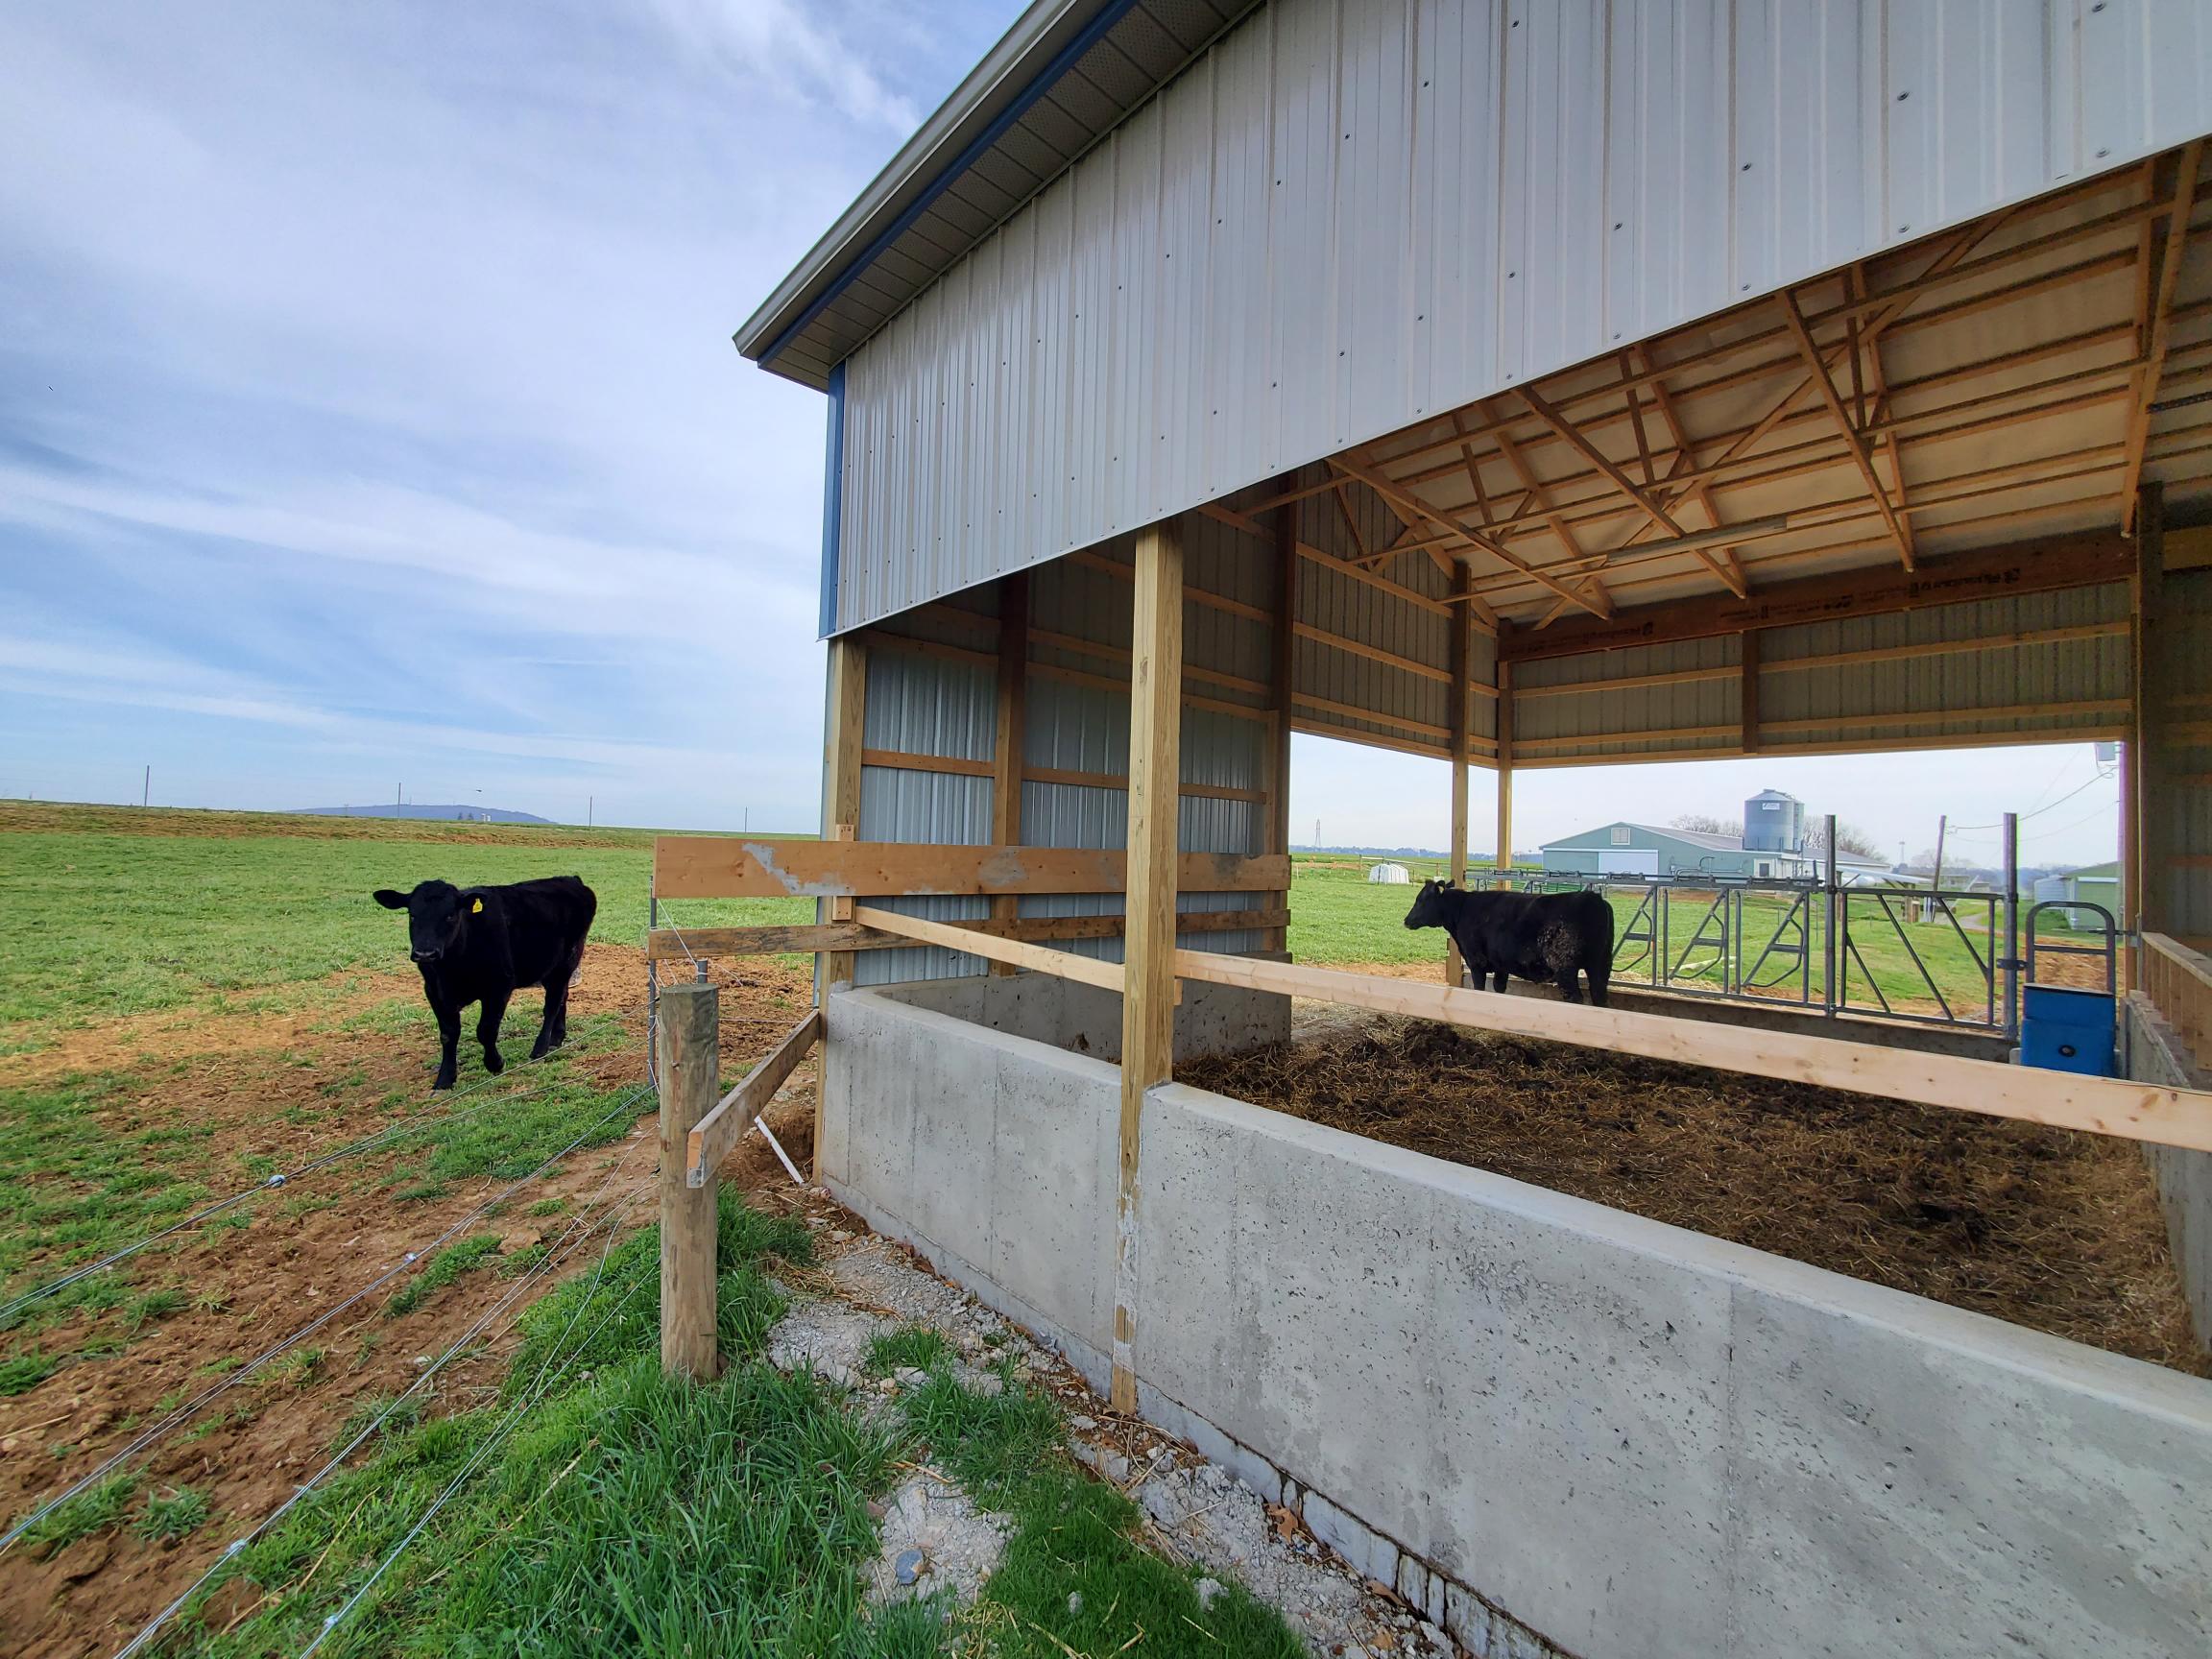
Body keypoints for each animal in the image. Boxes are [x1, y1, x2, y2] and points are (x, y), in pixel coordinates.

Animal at [372, 876, 597, 1096]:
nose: (425, 953)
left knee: (552, 1004)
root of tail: (570, 880)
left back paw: (540, 1048)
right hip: (552, 968)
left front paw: (495, 1063)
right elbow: (448, 1034)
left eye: (450, 915)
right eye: (412, 915)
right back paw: (556, 1037)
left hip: (567, 960)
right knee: (562, 997)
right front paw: (444, 1079)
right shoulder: (434, 991)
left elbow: (486, 1030)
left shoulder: (499, 986)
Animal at [1407, 884, 1619, 1013]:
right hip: (1600, 965)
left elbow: (1480, 989)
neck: (1462, 911)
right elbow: (1499, 988)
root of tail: (1595, 899)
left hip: (1566, 967)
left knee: (1576, 999)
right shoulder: (1501, 965)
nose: (1406, 920)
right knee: (1600, 998)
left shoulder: (1476, 962)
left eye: (1421, 900)